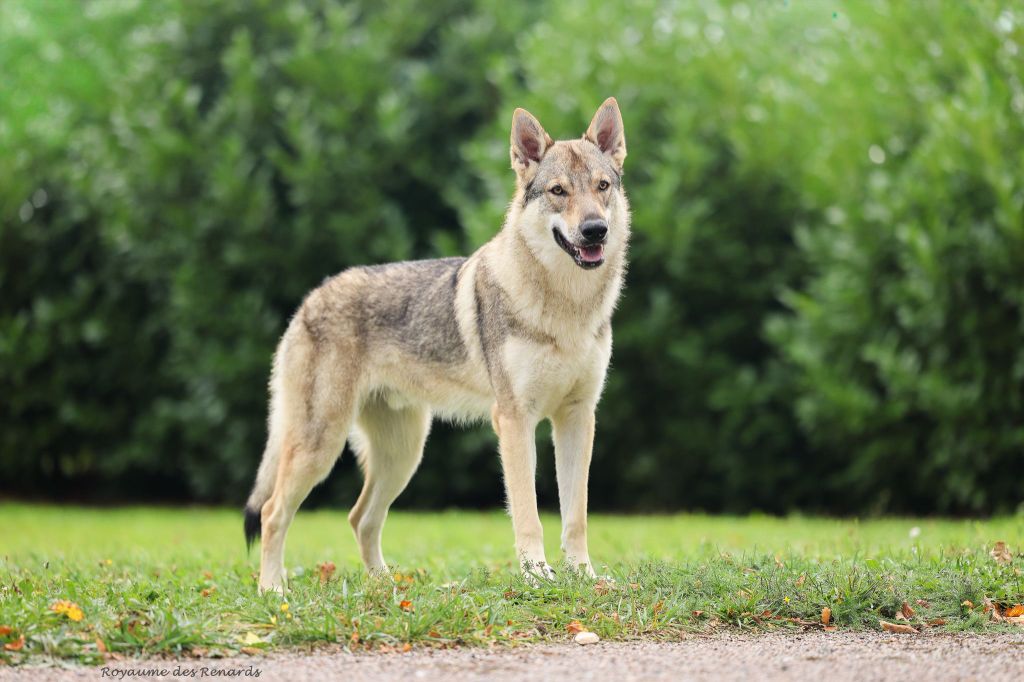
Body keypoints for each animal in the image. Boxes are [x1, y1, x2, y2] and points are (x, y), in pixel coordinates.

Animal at [243, 98, 629, 592]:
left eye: (602, 186)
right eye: (558, 191)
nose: (595, 230)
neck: (566, 308)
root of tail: (311, 297)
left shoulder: (578, 418)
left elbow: (575, 515)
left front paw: (584, 576)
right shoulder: (515, 420)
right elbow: (528, 513)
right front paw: (537, 576)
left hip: (404, 454)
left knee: (360, 518)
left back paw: (386, 587)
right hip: (322, 446)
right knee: (273, 512)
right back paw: (274, 589)